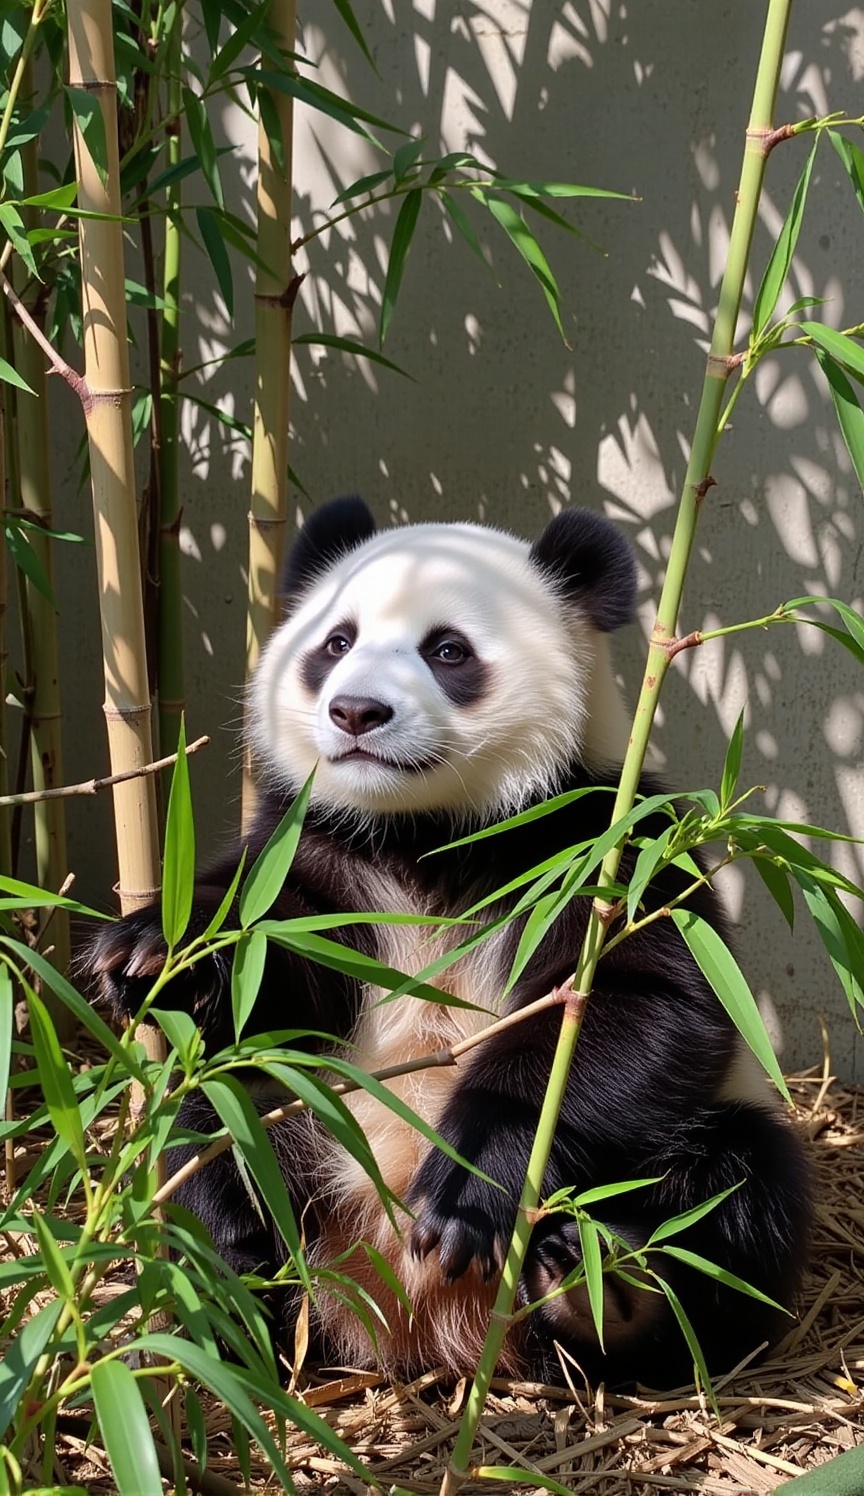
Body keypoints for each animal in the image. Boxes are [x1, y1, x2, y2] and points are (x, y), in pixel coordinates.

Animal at [90, 495, 811, 1389]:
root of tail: (410, 1322)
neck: (427, 835)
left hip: (685, 1151)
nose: (357, 712)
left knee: (736, 1195)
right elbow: (268, 970)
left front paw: (464, 1193)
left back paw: (604, 1288)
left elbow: (644, 1006)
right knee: (217, 1126)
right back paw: (231, 1286)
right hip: (303, 1128)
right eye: (337, 642)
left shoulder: (602, 849)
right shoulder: (318, 857)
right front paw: (153, 952)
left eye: (447, 650)